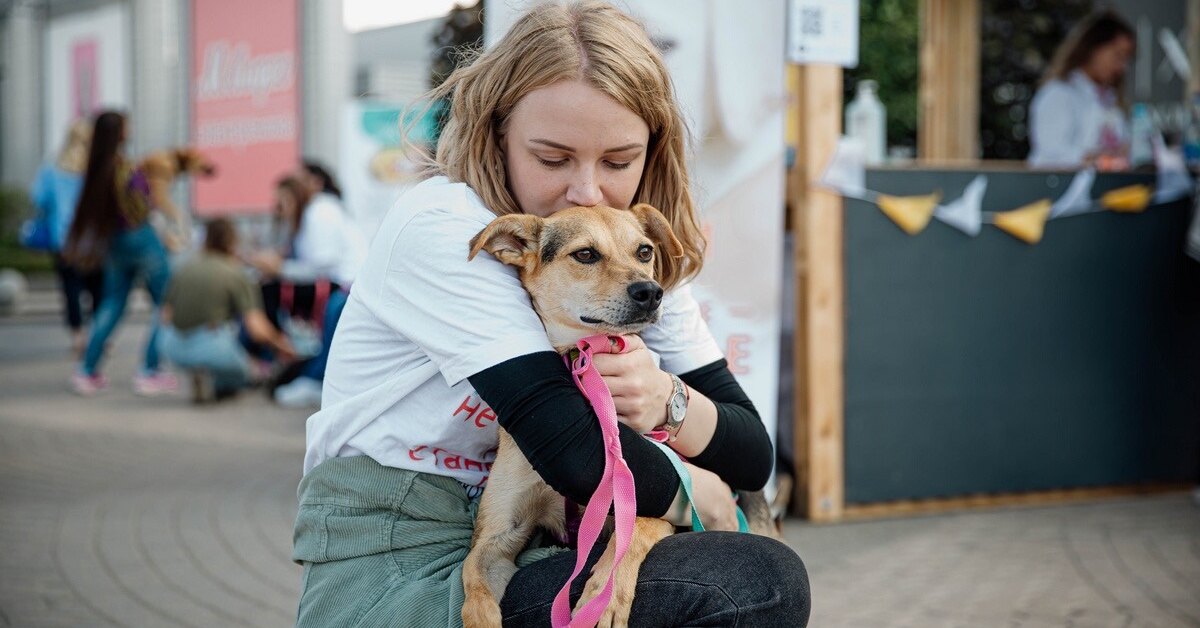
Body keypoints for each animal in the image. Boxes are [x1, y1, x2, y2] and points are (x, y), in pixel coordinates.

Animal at [461, 203, 779, 628]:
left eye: (644, 252)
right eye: (585, 254)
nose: (651, 292)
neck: (588, 380)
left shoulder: (648, 498)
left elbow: (629, 534)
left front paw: (604, 597)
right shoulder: (497, 535)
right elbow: (472, 585)